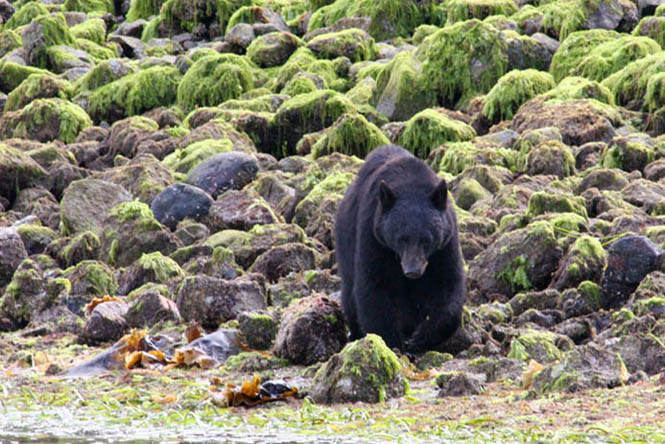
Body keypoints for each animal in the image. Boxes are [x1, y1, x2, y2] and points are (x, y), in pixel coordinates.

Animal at [334, 144, 464, 352]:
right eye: (402, 239)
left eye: (426, 239)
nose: (413, 270)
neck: (411, 185)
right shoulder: (374, 235)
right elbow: (374, 286)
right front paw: (393, 344)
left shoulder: (445, 243)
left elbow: (448, 285)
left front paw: (422, 336)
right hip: (346, 238)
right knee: (350, 291)